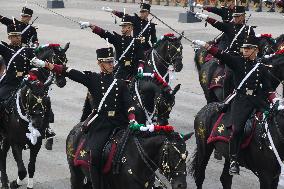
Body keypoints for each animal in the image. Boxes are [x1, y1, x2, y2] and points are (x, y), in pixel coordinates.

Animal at [0, 43, 69, 189]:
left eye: (65, 60)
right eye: (30, 97)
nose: (62, 82)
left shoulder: (36, 144)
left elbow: (31, 167)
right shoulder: (15, 142)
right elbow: (22, 170)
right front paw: (14, 183)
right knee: (2, 156)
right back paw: (4, 181)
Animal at [189, 52, 284, 188]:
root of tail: (204, 110)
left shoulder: (275, 177)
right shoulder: (265, 175)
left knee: (225, 178)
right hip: (204, 148)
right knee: (199, 176)